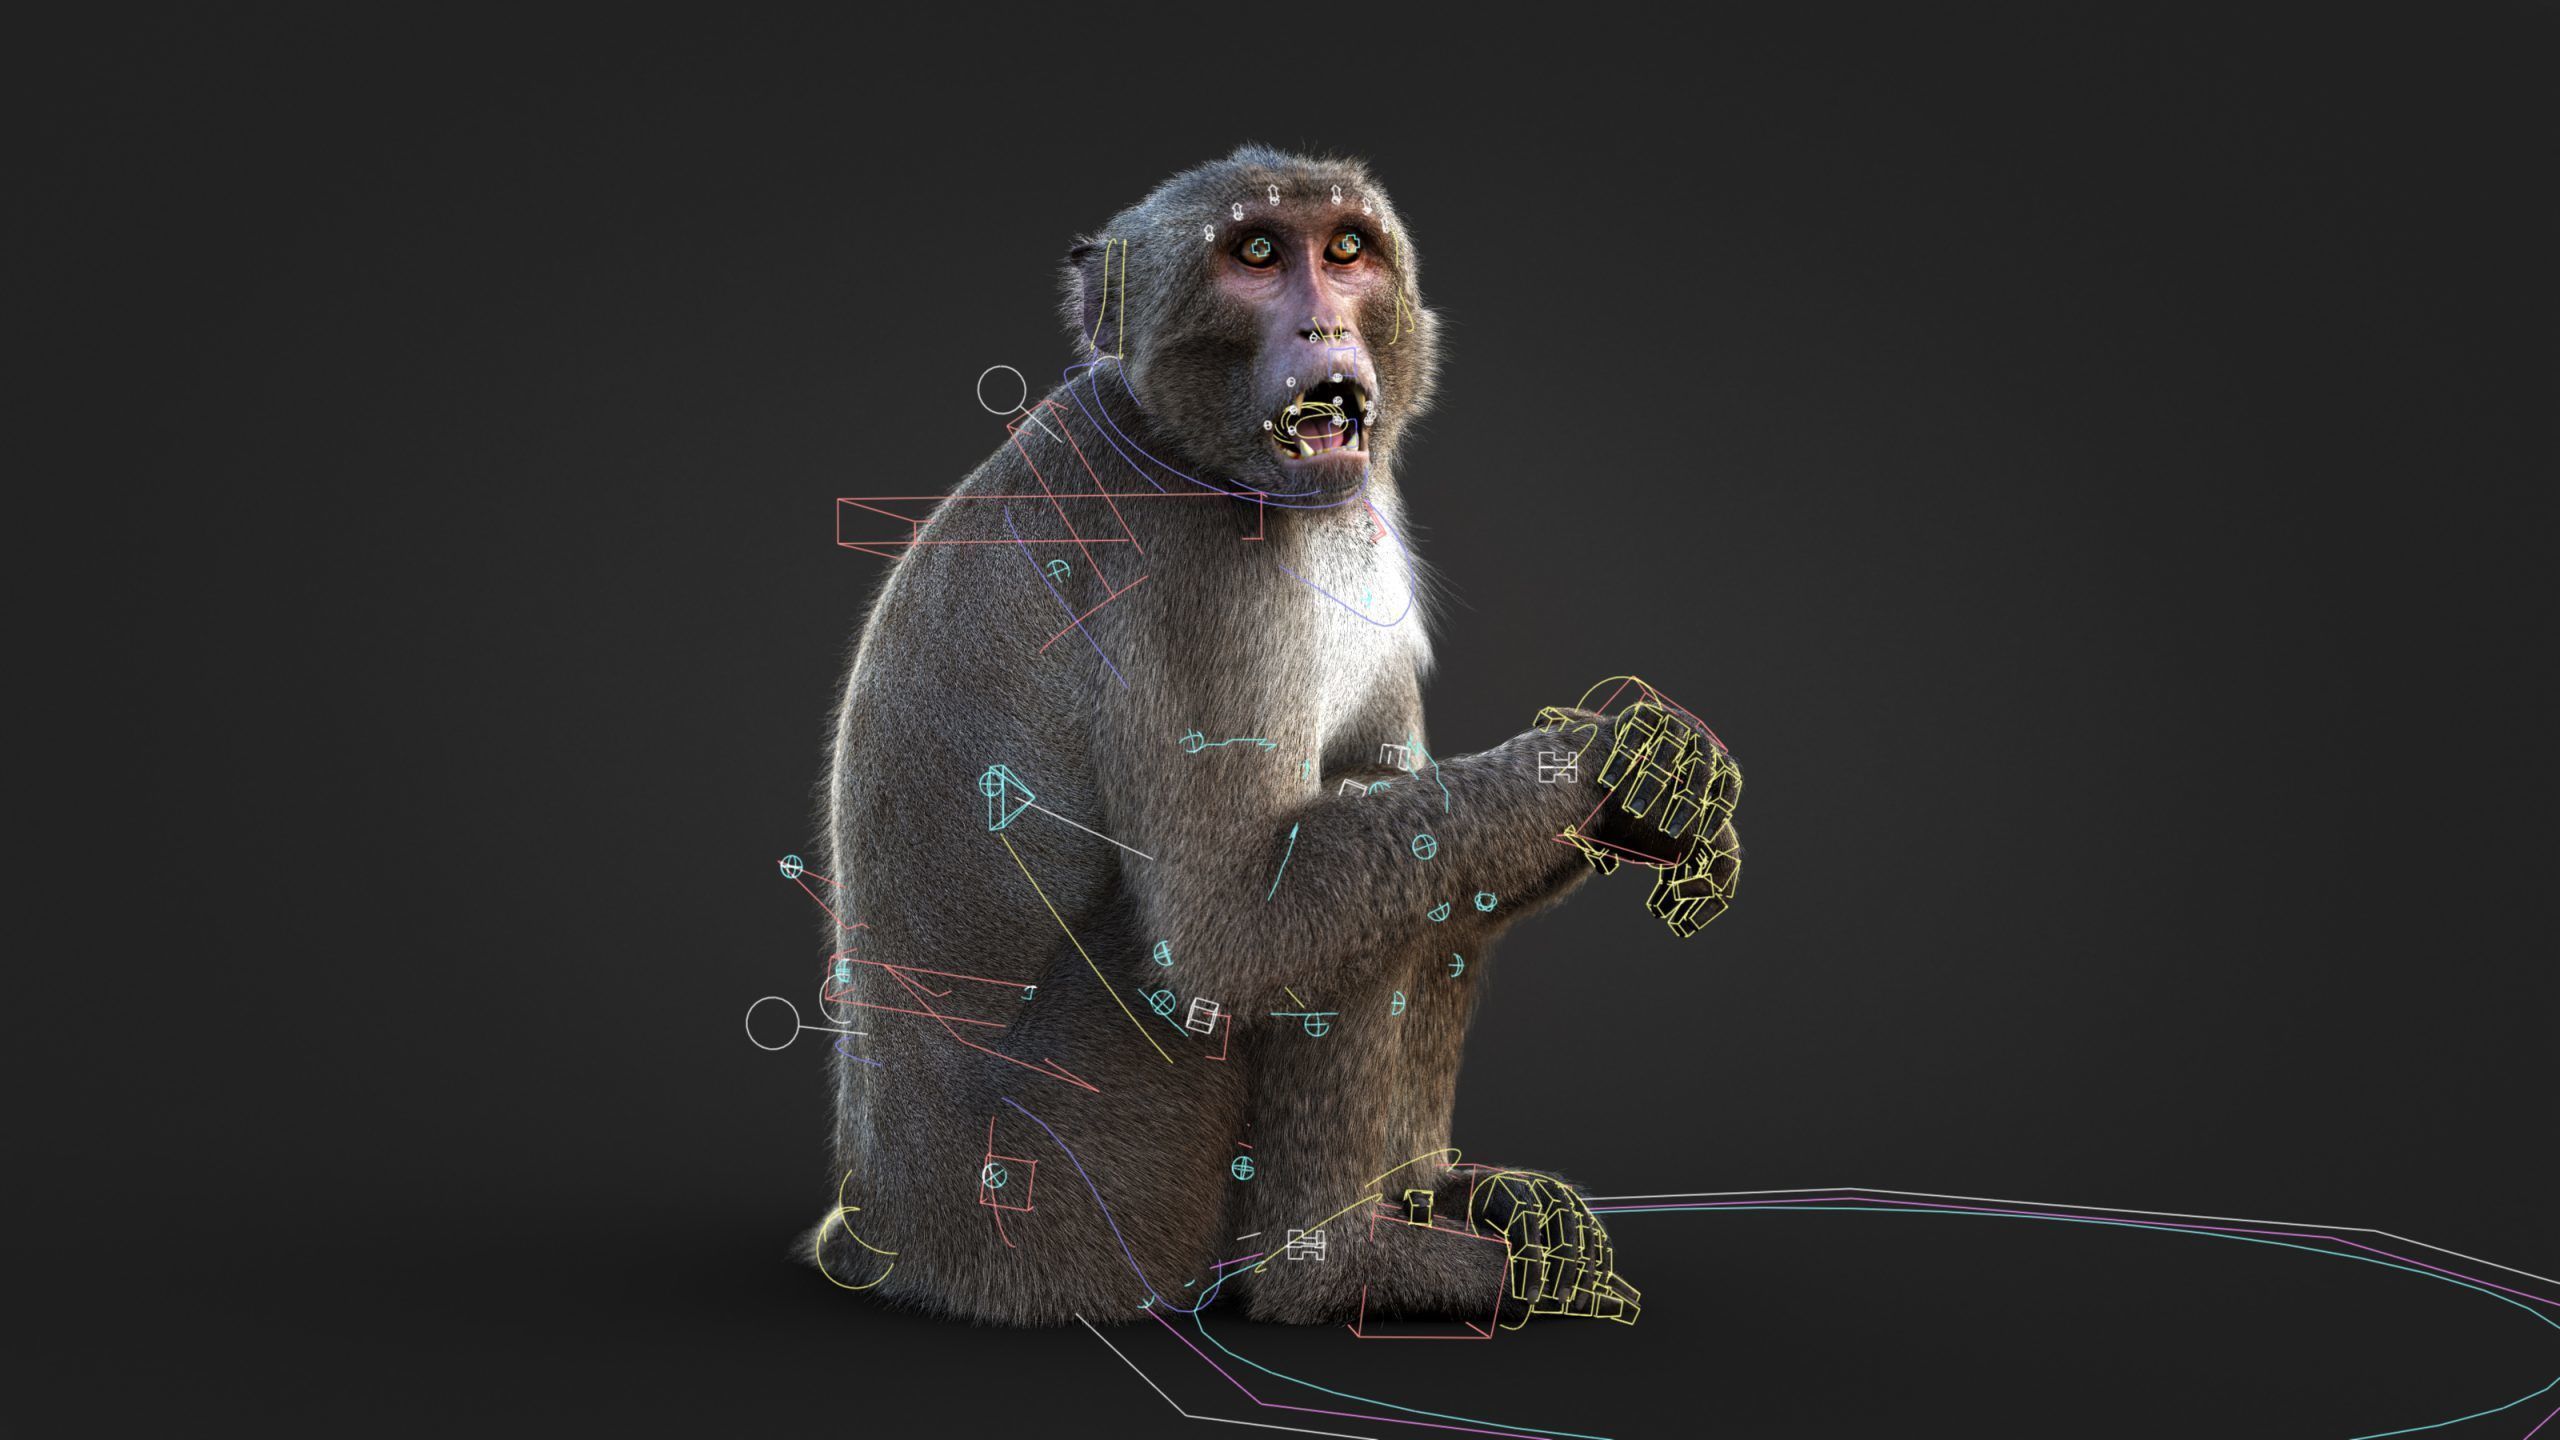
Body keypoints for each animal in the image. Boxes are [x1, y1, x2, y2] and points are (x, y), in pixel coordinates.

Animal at [812, 145, 1740, 1327]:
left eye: (1345, 249)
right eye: (1255, 254)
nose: (1322, 327)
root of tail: (887, 1236)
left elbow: (1403, 791)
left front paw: (1650, 794)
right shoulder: (1194, 580)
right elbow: (1229, 930)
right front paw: (1609, 764)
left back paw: (1442, 1198)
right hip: (1074, 1197)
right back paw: (1344, 1271)